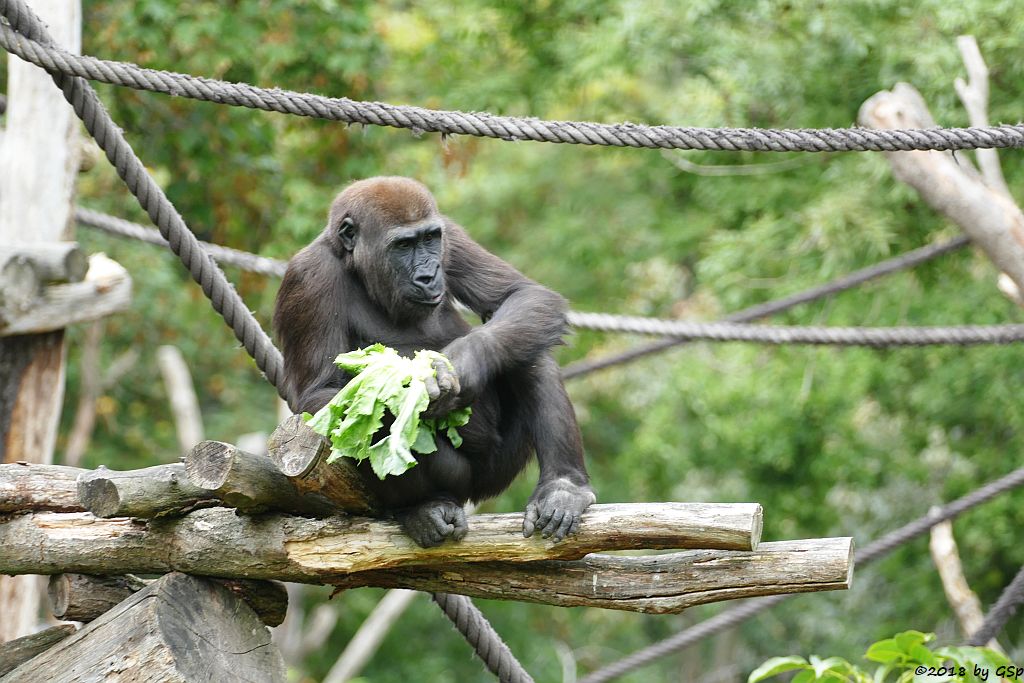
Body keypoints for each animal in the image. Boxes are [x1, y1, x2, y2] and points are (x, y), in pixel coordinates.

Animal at [276, 178, 598, 548]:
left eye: (429, 239)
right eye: (403, 245)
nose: (429, 275)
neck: (353, 263)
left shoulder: (450, 234)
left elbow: (520, 294)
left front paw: (463, 362)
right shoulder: (308, 276)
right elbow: (321, 395)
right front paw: (402, 390)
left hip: (497, 472)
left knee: (531, 347)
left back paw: (564, 488)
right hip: (462, 484)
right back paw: (422, 508)